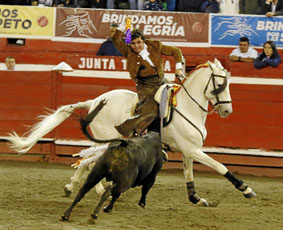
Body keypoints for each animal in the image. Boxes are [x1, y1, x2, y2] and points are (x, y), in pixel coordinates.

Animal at [7, 58, 256, 205]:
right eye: (220, 84)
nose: (227, 110)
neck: (188, 106)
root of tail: (95, 100)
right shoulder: (193, 149)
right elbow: (220, 166)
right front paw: (245, 189)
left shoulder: (189, 150)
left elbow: (189, 173)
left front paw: (195, 198)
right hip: (107, 138)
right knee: (90, 160)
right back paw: (89, 188)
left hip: (105, 140)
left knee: (86, 160)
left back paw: (73, 187)